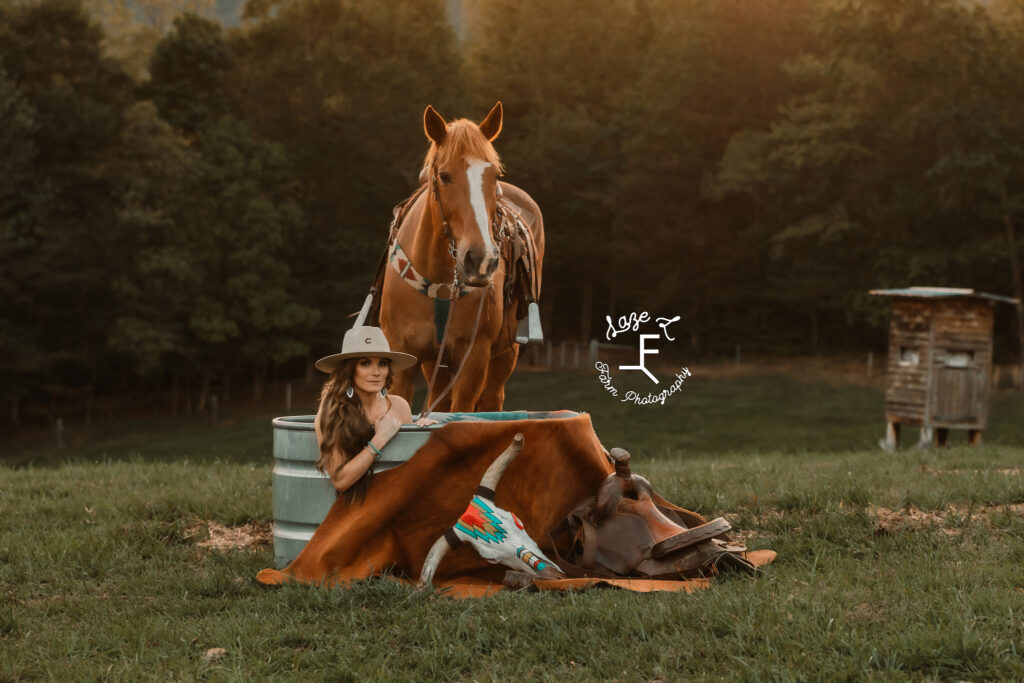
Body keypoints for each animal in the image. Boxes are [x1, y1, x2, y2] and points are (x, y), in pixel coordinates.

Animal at [380, 101, 544, 411]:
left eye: (495, 176)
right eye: (444, 176)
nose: (480, 259)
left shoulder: (474, 360)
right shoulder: (403, 357)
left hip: (505, 355)